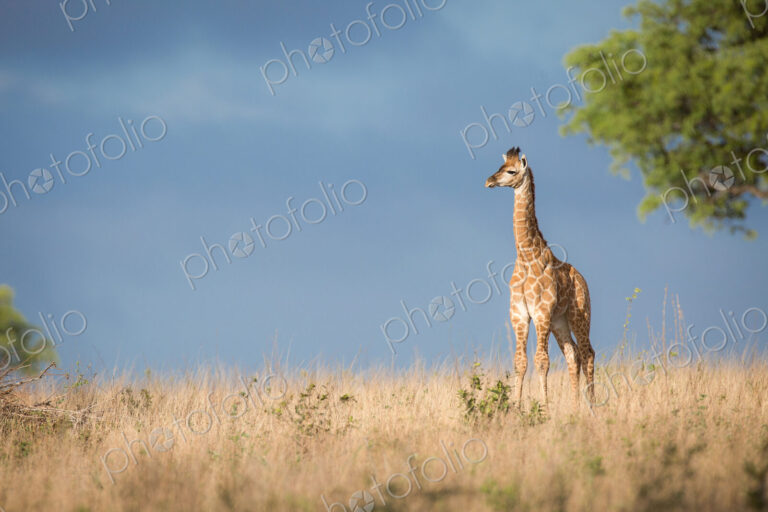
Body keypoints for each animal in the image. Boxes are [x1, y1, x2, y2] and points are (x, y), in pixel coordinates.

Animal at [485, 147, 595, 409]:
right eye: (500, 166)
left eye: (511, 171)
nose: (489, 181)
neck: (526, 256)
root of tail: (583, 281)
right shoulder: (519, 314)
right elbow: (520, 361)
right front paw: (516, 407)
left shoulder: (541, 313)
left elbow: (542, 360)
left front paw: (544, 408)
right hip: (560, 322)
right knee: (573, 354)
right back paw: (576, 407)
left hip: (579, 315)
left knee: (588, 353)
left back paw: (592, 406)